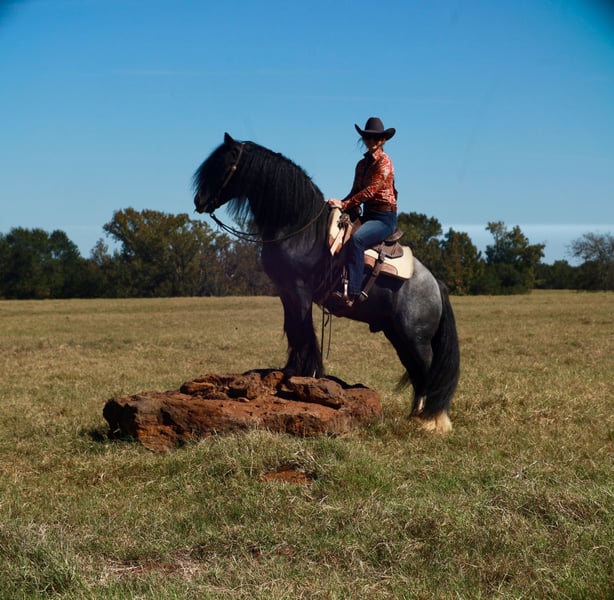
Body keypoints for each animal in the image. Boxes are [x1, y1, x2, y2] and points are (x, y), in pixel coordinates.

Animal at [193, 133, 460, 433]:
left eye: (223, 166)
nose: (199, 201)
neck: (300, 228)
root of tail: (436, 284)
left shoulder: (299, 290)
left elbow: (303, 330)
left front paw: (302, 374)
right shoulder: (286, 291)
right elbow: (294, 329)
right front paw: (291, 371)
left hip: (416, 337)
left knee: (428, 371)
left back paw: (432, 422)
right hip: (399, 335)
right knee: (417, 372)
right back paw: (416, 417)